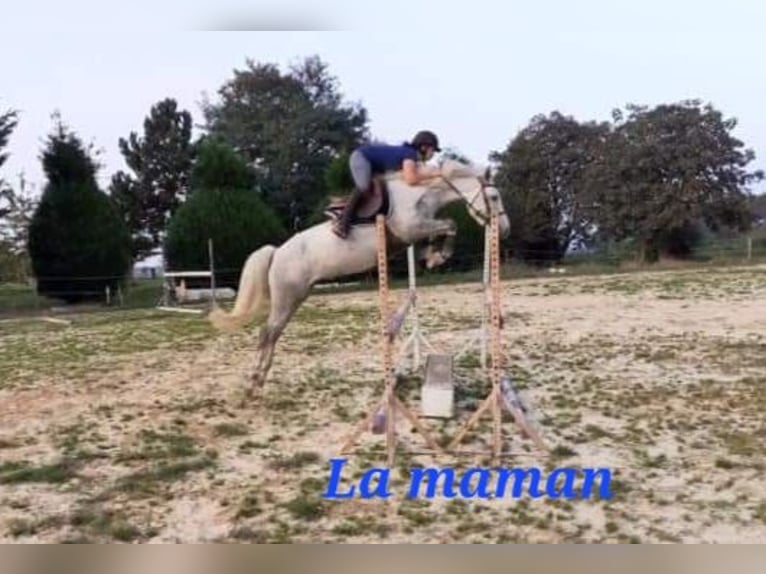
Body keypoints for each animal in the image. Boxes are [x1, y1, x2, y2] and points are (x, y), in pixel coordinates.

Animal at [208, 158, 510, 398]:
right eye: (495, 197)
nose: (505, 230)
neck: (420, 194)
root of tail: (277, 252)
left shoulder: (411, 237)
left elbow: (440, 233)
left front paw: (435, 257)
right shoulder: (410, 230)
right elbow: (451, 224)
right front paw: (441, 255)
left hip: (295, 298)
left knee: (273, 333)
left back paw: (260, 380)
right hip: (287, 297)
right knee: (267, 333)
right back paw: (253, 381)